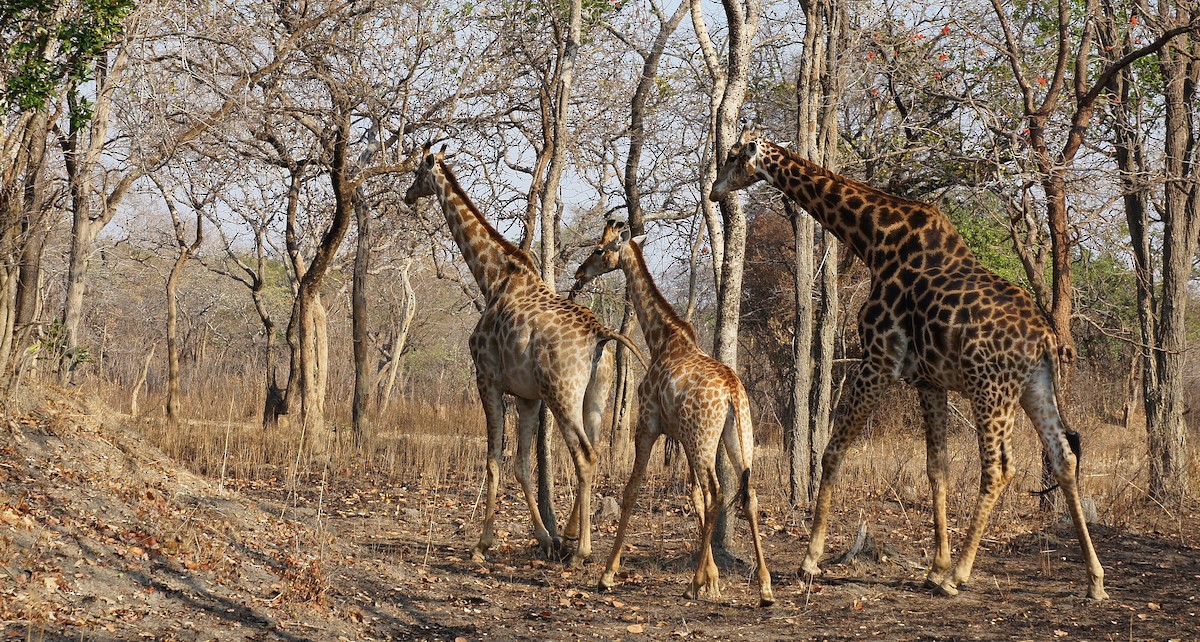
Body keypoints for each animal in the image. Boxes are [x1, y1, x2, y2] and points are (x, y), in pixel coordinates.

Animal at [404, 145, 645, 567]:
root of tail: (600, 334)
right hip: (596, 395)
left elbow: (493, 460)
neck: (492, 279)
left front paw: (482, 543)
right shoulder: (528, 396)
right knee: (596, 450)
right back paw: (569, 536)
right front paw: (545, 538)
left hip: (562, 393)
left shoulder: (486, 378)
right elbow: (521, 465)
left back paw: (582, 550)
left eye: (420, 171)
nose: (407, 194)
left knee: (584, 454)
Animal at [571, 219, 774, 607]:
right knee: (748, 495)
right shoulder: (680, 437)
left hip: (704, 439)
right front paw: (713, 579)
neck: (661, 339)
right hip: (737, 436)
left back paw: (691, 584)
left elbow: (631, 491)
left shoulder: (647, 425)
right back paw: (766, 588)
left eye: (600, 250)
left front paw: (607, 574)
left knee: (717, 493)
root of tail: (732, 391)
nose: (579, 273)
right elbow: (694, 498)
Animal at [710, 126, 1107, 601]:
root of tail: (1046, 340)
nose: (714, 190)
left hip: (990, 386)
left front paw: (810, 561)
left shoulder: (879, 359)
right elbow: (938, 468)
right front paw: (934, 567)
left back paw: (960, 577)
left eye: (735, 156)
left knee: (999, 467)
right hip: (1034, 387)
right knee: (1063, 457)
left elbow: (832, 450)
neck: (874, 241)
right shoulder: (928, 381)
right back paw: (1095, 580)